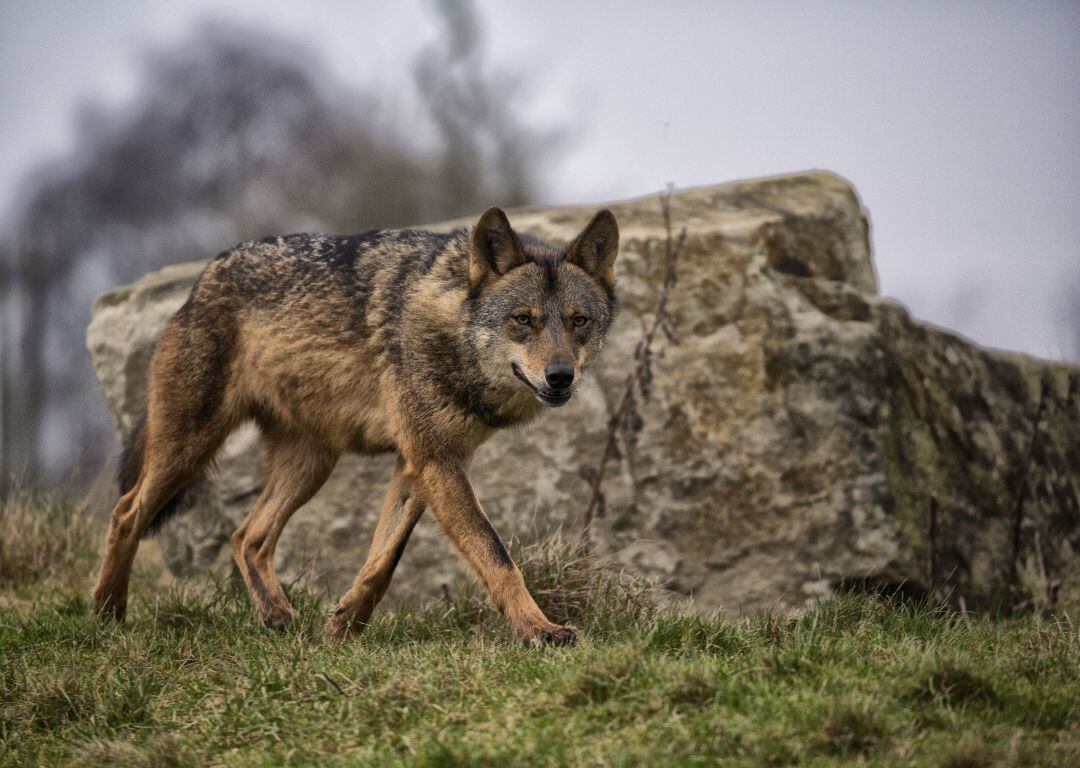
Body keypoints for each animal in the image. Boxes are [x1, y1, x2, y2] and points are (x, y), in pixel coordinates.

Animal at [95, 207, 617, 643]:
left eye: (578, 321)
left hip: (310, 465)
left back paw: (278, 619)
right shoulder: (435, 463)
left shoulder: (418, 466)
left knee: (247, 537)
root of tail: (203, 277)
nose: (561, 376)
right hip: (190, 448)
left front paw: (344, 625)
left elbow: (383, 561)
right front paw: (539, 630)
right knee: (126, 512)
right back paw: (106, 616)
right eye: (522, 320)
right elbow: (497, 557)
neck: (448, 327)